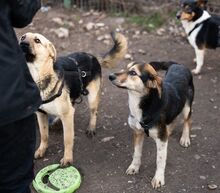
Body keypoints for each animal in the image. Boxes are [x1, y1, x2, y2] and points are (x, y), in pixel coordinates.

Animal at [20, 31, 127, 166]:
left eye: (37, 40)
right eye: (23, 37)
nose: (22, 43)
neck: (39, 77)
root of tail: (93, 57)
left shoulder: (67, 116)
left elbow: (67, 139)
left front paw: (67, 158)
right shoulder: (41, 114)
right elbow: (44, 135)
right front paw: (41, 150)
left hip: (92, 98)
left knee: (94, 112)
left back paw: (91, 128)